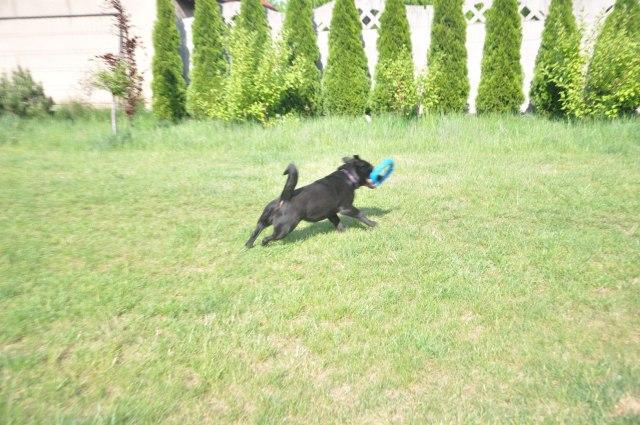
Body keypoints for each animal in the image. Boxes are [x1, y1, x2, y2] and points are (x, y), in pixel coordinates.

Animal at [245, 155, 378, 248]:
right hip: (285, 228)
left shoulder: (331, 213)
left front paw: (344, 232)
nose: (378, 172)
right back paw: (264, 244)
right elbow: (360, 214)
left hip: (264, 220)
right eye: (370, 168)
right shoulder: (346, 208)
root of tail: (284, 198)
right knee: (267, 237)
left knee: (255, 232)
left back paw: (249, 245)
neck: (347, 176)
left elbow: (338, 223)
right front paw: (372, 224)